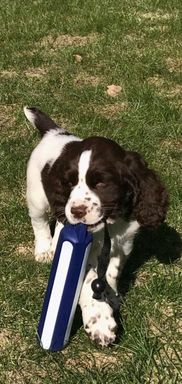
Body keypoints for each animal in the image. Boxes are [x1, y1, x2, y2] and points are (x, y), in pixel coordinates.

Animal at [23, 106, 168, 346]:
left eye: (101, 183)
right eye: (69, 183)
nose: (76, 211)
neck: (108, 224)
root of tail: (55, 132)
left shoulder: (124, 242)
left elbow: (112, 272)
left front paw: (111, 295)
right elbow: (89, 279)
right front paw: (100, 322)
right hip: (36, 194)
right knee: (40, 222)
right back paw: (44, 250)